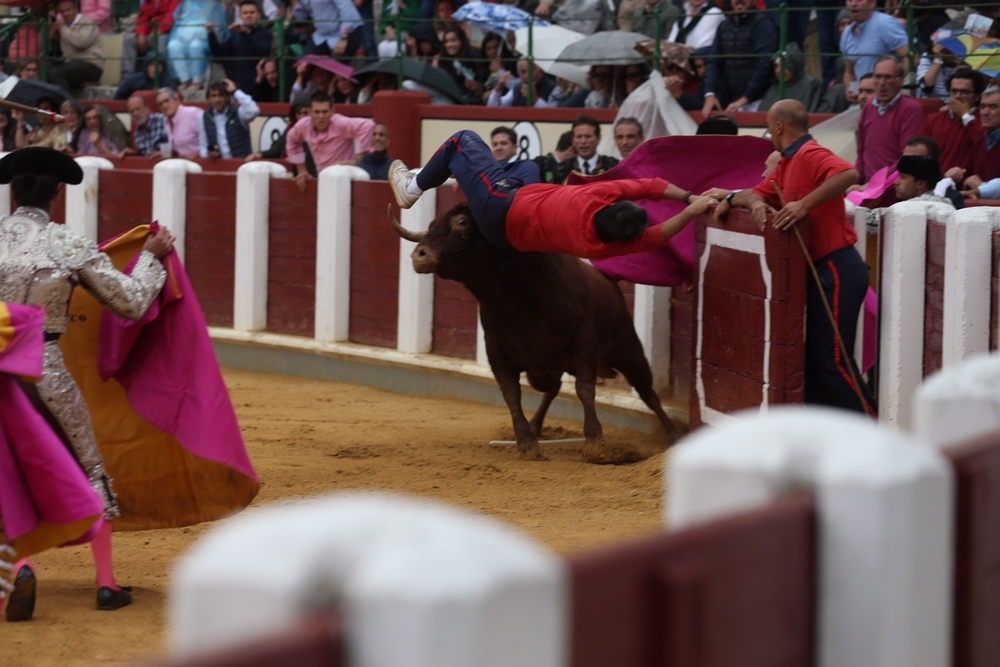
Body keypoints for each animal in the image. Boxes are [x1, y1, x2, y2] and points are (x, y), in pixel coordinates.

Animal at [386, 202, 684, 464]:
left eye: (461, 222)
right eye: (431, 225)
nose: (420, 255)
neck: (513, 297)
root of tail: (610, 282)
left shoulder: (584, 344)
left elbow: (584, 389)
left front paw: (596, 443)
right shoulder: (497, 352)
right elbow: (511, 394)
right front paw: (527, 442)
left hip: (629, 350)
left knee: (647, 392)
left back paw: (673, 434)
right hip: (546, 367)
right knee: (551, 389)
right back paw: (536, 426)